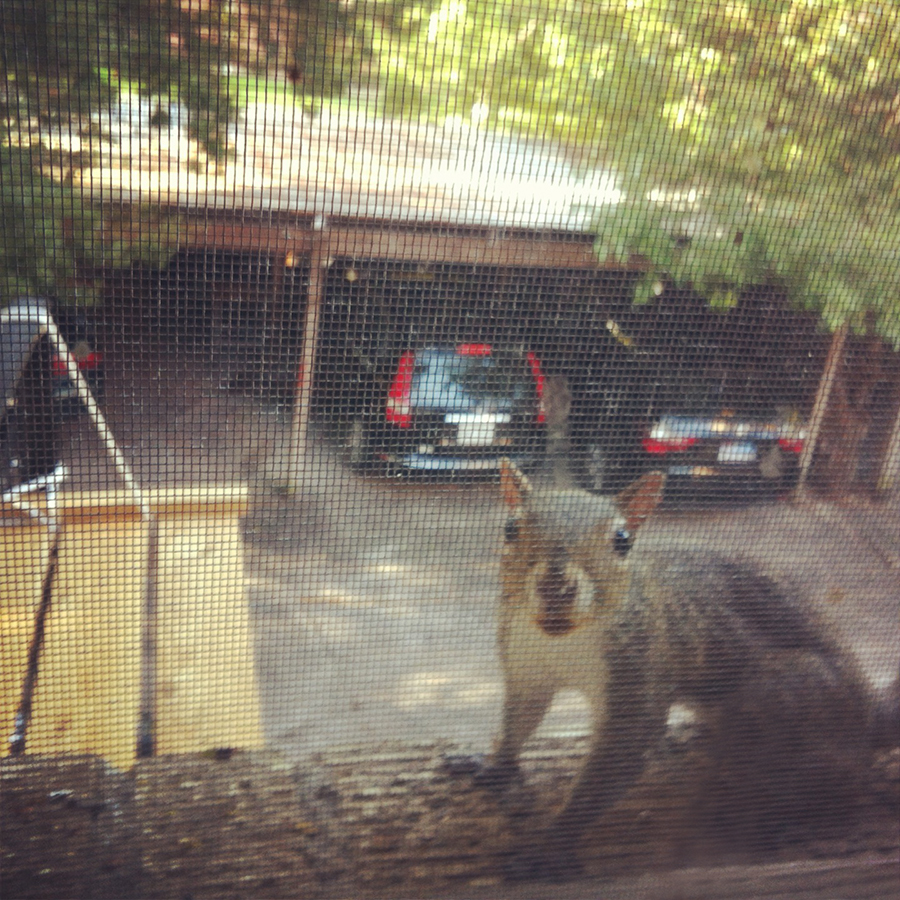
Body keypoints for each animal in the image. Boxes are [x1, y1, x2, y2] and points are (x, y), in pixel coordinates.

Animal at [482, 460, 888, 884]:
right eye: (510, 528)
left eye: (622, 540)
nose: (556, 587)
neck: (561, 641)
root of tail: (868, 718)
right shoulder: (527, 670)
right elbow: (520, 721)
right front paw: (499, 766)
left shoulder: (641, 667)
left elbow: (615, 761)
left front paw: (546, 848)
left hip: (782, 694)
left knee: (834, 781)